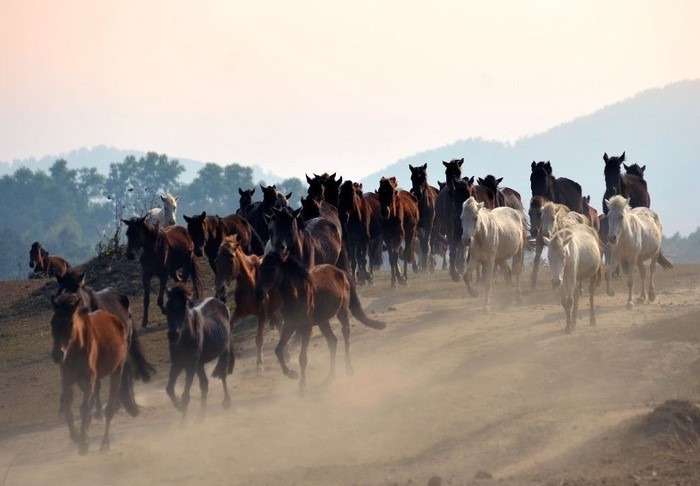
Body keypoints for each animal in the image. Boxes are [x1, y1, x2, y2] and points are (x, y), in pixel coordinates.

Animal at [50, 292, 138, 456]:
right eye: (52, 323)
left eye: (70, 323)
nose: (57, 355)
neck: (76, 350)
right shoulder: (67, 380)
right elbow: (68, 406)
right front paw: (76, 436)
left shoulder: (88, 379)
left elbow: (84, 408)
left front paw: (83, 444)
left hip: (116, 371)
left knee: (109, 409)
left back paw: (105, 443)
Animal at [163, 284, 232, 418]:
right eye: (167, 308)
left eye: (183, 309)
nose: (173, 335)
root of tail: (219, 300)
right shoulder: (177, 364)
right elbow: (170, 389)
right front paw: (179, 407)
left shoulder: (191, 365)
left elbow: (186, 396)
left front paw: (183, 420)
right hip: (200, 364)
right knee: (204, 384)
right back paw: (201, 416)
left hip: (224, 351)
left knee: (222, 375)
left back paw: (226, 402)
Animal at [215, 235, 280, 372]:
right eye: (216, 260)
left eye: (230, 258)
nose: (220, 289)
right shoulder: (240, 311)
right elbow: (230, 327)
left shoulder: (262, 314)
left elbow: (259, 338)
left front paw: (259, 365)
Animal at [258, 252, 388, 392]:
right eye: (260, 268)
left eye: (272, 269)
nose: (259, 293)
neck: (296, 294)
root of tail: (342, 272)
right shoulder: (290, 324)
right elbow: (278, 350)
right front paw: (292, 374)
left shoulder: (306, 327)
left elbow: (302, 357)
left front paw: (302, 386)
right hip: (323, 321)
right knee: (333, 341)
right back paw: (330, 376)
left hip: (342, 311)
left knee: (345, 334)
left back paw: (348, 369)